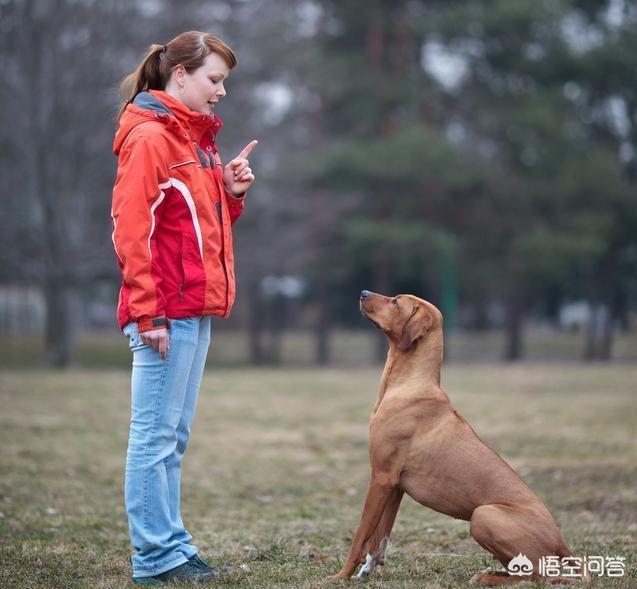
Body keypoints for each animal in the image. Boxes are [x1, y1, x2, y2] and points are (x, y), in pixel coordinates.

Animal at [328, 292, 576, 584]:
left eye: (396, 302)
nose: (363, 293)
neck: (410, 384)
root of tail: (560, 542)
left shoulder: (381, 477)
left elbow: (360, 535)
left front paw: (341, 575)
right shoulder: (395, 485)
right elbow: (380, 536)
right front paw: (368, 568)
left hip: (483, 515)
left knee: (537, 576)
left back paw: (486, 578)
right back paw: (490, 574)